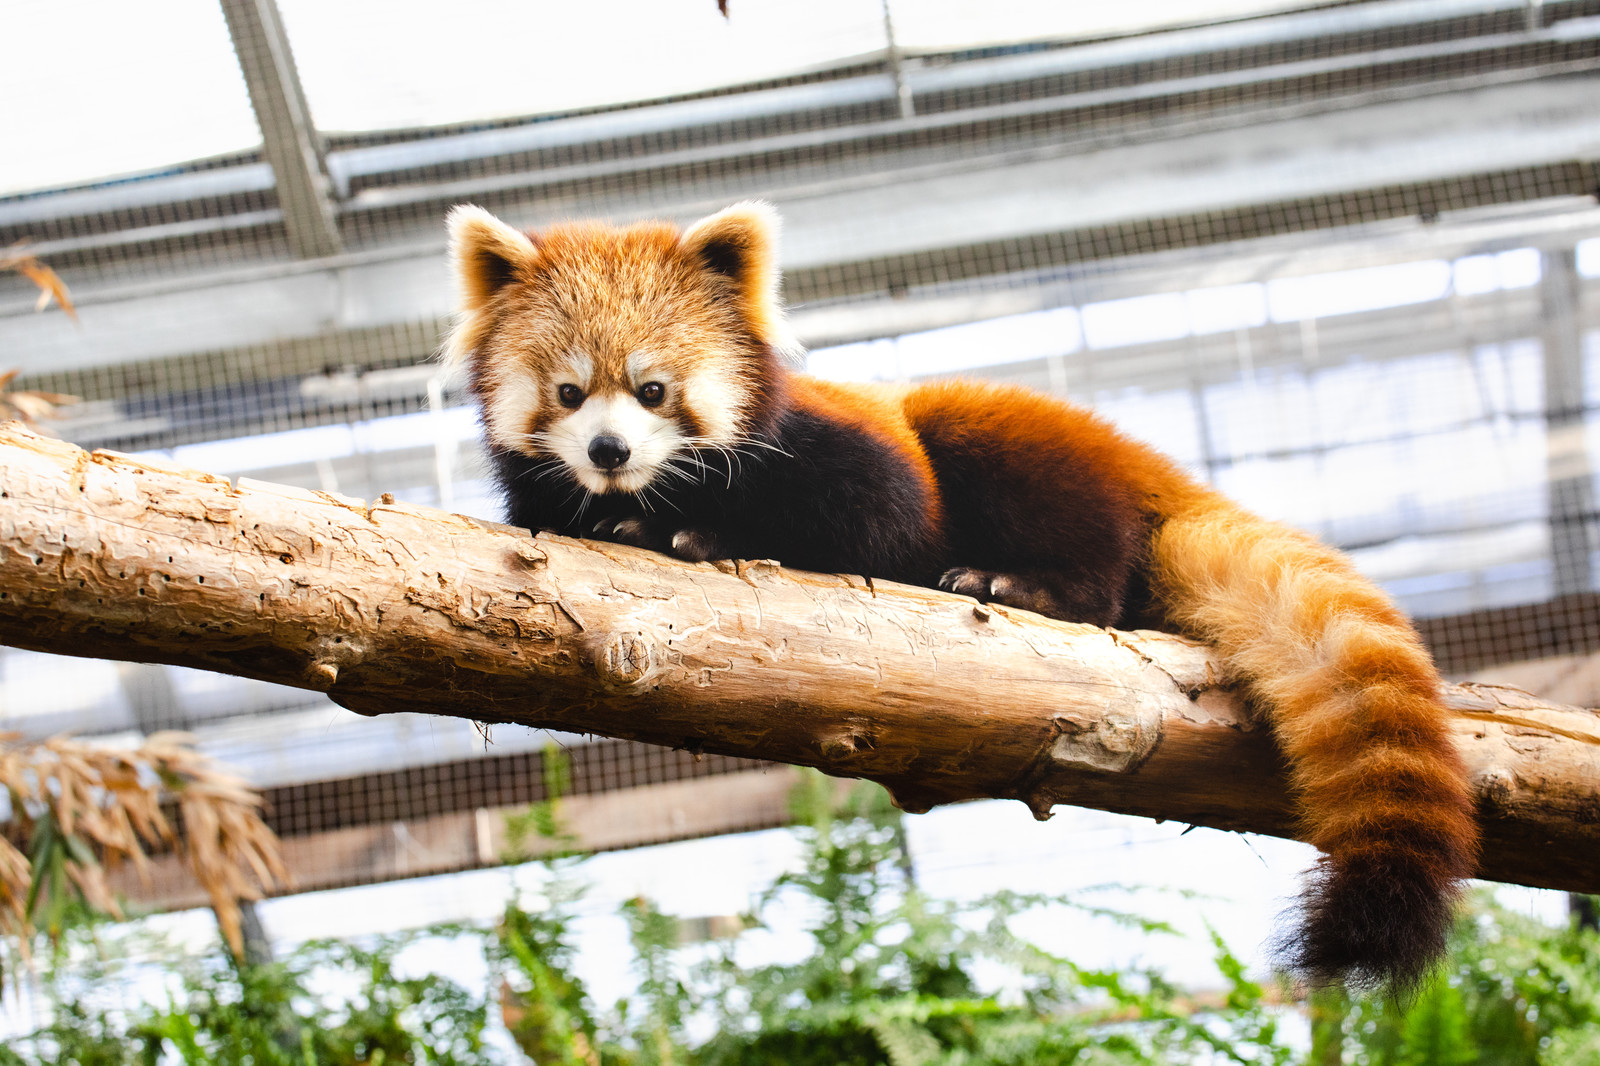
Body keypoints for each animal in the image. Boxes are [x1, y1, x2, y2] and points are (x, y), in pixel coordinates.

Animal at [444, 199, 1478, 985]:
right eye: (569, 394)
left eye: (654, 390)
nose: (609, 452)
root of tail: (1146, 466)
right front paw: (617, 522)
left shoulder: (848, 457)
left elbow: (878, 524)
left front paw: (694, 534)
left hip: (1003, 442)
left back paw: (1025, 584)